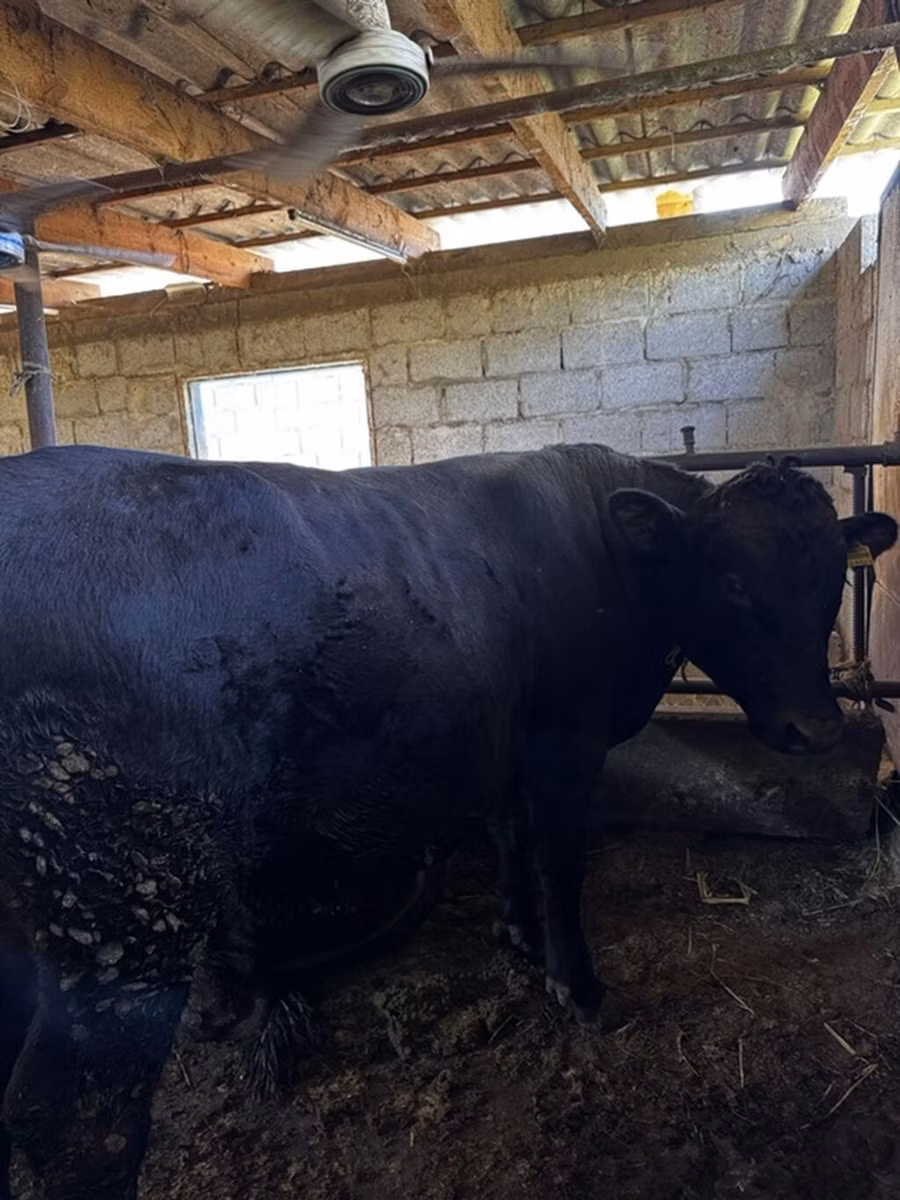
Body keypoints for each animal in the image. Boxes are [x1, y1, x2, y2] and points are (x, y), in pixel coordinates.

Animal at [0, 441, 894, 1199]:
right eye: (731, 581)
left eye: (831, 581)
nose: (816, 731)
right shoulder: (565, 739)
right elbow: (559, 860)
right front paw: (575, 983)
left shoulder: (503, 738)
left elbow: (508, 836)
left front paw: (516, 932)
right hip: (119, 898)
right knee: (73, 1119)